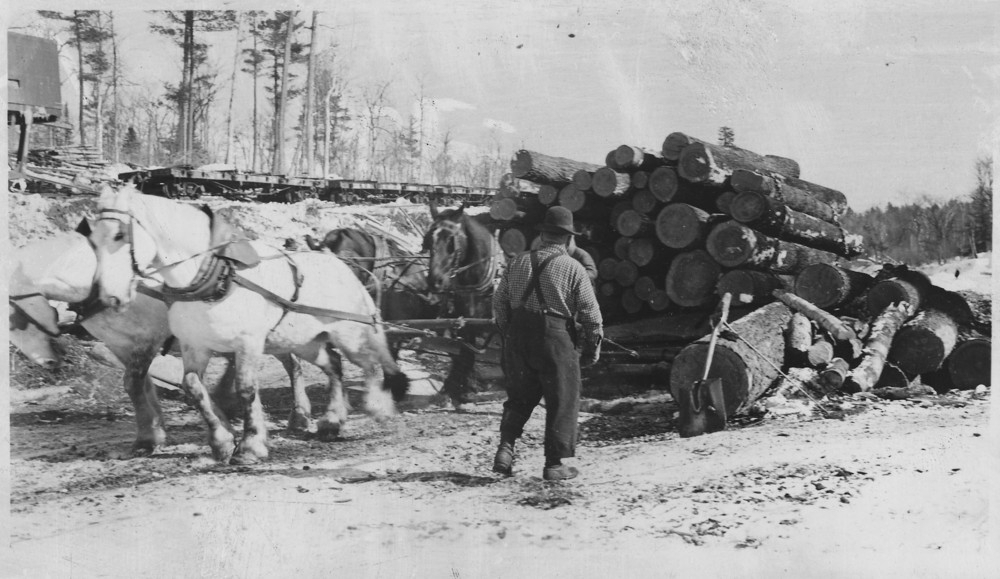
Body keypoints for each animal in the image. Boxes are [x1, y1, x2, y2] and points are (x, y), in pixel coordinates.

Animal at [90, 187, 408, 466]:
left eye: (119, 235)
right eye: (92, 238)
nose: (108, 295)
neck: (217, 279)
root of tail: (342, 266)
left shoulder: (248, 343)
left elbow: (245, 389)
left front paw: (250, 446)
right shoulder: (195, 345)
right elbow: (193, 388)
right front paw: (221, 442)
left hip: (349, 333)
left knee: (369, 364)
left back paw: (378, 407)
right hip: (306, 341)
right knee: (334, 366)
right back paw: (331, 420)